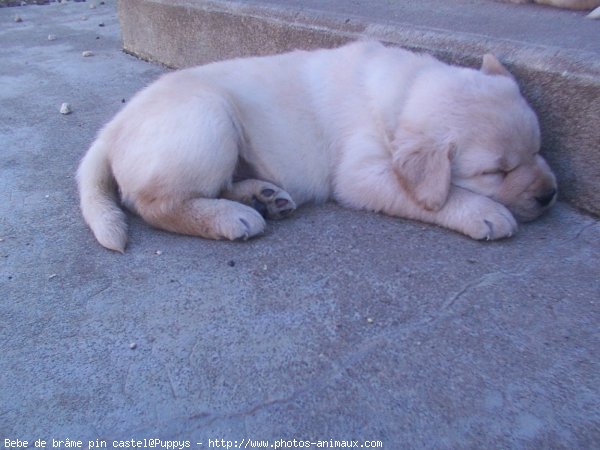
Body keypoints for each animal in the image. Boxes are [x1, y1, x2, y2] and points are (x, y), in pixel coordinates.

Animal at [76, 41, 556, 253]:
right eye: (495, 172)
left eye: (538, 149)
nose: (549, 195)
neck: (406, 90)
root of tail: (111, 129)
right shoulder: (361, 174)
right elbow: (436, 194)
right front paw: (484, 212)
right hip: (207, 117)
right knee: (154, 203)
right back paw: (233, 216)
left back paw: (264, 196)